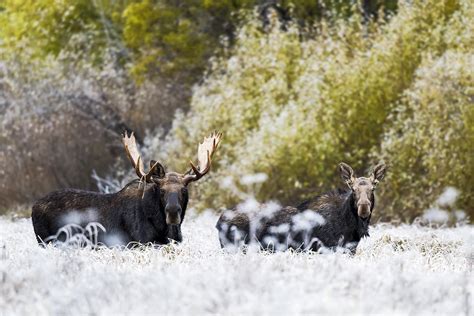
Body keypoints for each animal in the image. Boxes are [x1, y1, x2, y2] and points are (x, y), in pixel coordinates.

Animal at [33, 131, 222, 247]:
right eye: (161, 191)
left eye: (184, 190)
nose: (173, 212)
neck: (163, 229)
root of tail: (34, 206)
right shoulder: (138, 243)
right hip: (47, 241)